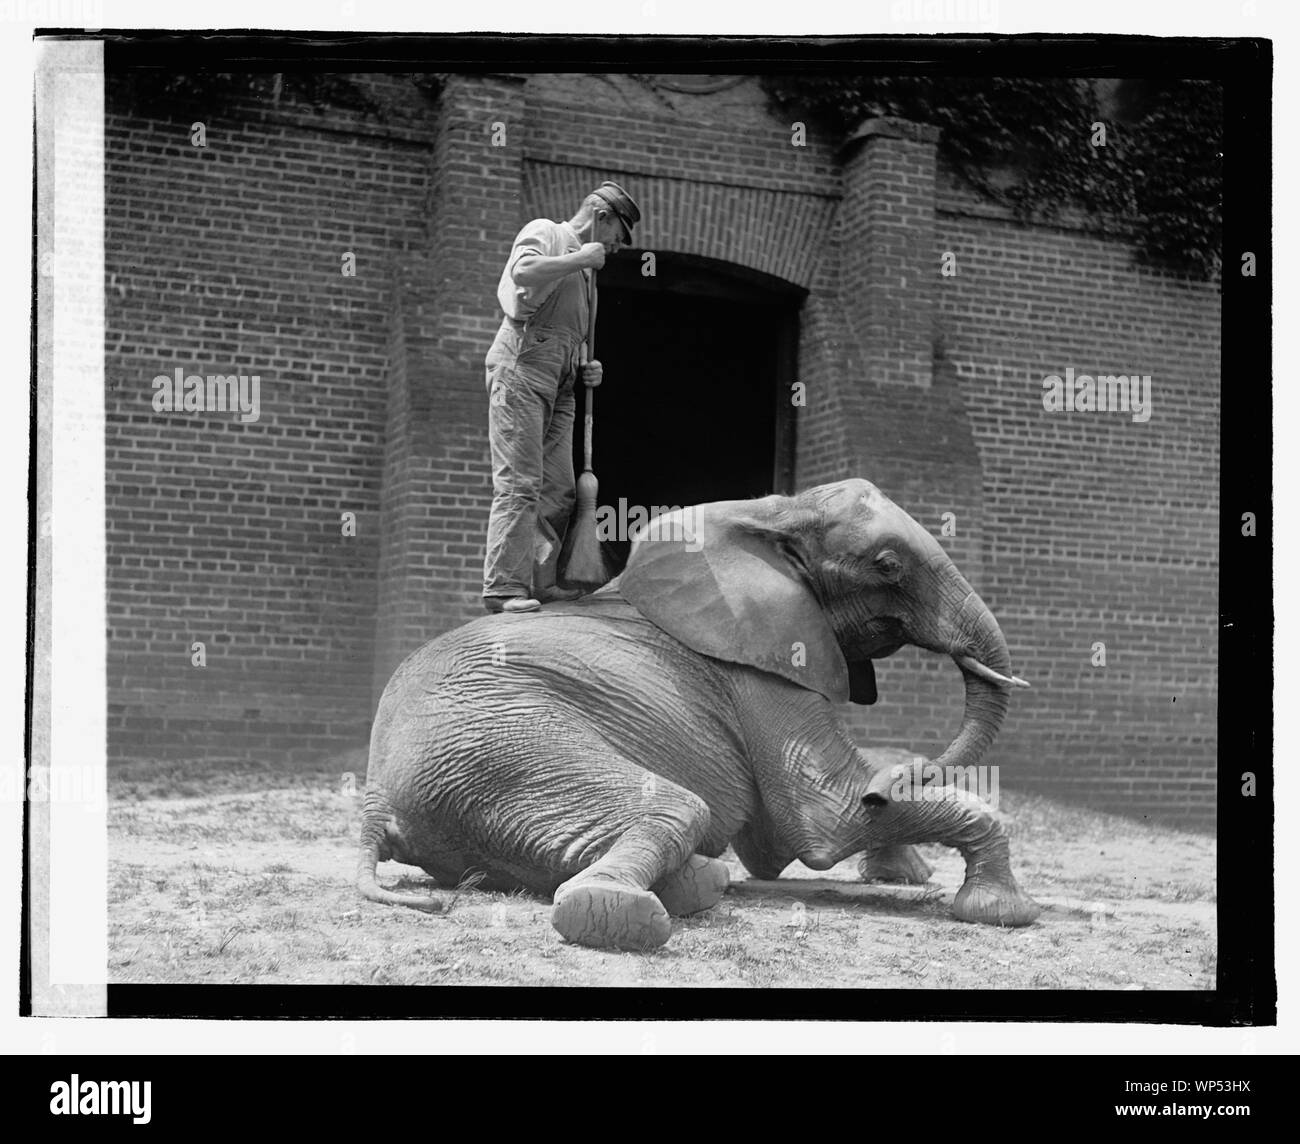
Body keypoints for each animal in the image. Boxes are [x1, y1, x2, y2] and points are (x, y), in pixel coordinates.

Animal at [357, 477, 1041, 950]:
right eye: (889, 566)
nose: (885, 795)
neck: (775, 512)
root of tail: (376, 804)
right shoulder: (759, 666)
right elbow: (827, 820)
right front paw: (1002, 912)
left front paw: (903, 869)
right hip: (504, 747)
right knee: (675, 806)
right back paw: (619, 910)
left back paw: (703, 882)